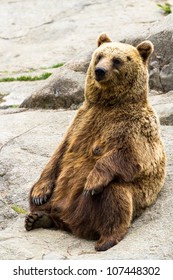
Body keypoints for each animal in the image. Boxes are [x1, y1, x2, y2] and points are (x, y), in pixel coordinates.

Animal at [24, 33, 166, 252]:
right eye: (99, 56)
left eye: (117, 60)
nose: (100, 71)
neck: (108, 104)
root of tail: (69, 219)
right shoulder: (79, 122)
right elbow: (58, 154)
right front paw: (40, 193)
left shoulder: (137, 127)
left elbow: (130, 155)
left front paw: (92, 182)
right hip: (57, 196)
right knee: (35, 193)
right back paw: (38, 217)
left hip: (112, 199)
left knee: (114, 198)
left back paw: (106, 239)